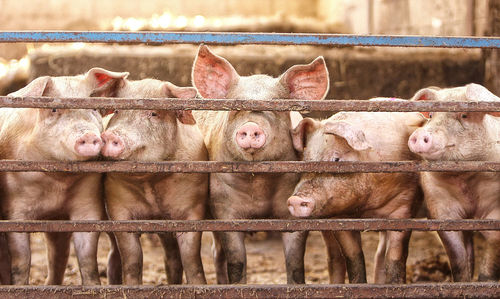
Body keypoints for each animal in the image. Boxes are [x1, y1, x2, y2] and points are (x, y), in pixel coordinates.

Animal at [0, 68, 128, 286]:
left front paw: (93, 287)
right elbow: (22, 260)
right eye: (53, 110)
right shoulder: (15, 210)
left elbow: (87, 258)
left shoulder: (87, 203)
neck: (57, 183)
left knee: (59, 254)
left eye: (94, 108)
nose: (89, 136)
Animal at [102, 78, 208, 286]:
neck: (150, 183)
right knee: (114, 257)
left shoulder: (193, 208)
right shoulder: (117, 208)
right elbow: (132, 259)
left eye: (153, 113)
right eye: (117, 111)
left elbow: (191, 259)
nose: (110, 135)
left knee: (172, 259)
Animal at [189, 44, 330, 284]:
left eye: (275, 108)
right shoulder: (224, 207)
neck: (259, 183)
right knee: (218, 253)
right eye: (235, 108)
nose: (251, 126)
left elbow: (295, 263)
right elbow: (237, 261)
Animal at [288, 112, 424, 284]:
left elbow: (395, 257)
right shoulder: (338, 217)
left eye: (336, 159)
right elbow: (353, 257)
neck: (367, 208)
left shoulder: (404, 206)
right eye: (305, 160)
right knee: (334, 257)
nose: (295, 200)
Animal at [406, 83, 500, 282]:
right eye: (431, 115)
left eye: (464, 115)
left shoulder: (496, 210)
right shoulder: (440, 207)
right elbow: (458, 258)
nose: (420, 134)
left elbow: (490, 261)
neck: (464, 180)